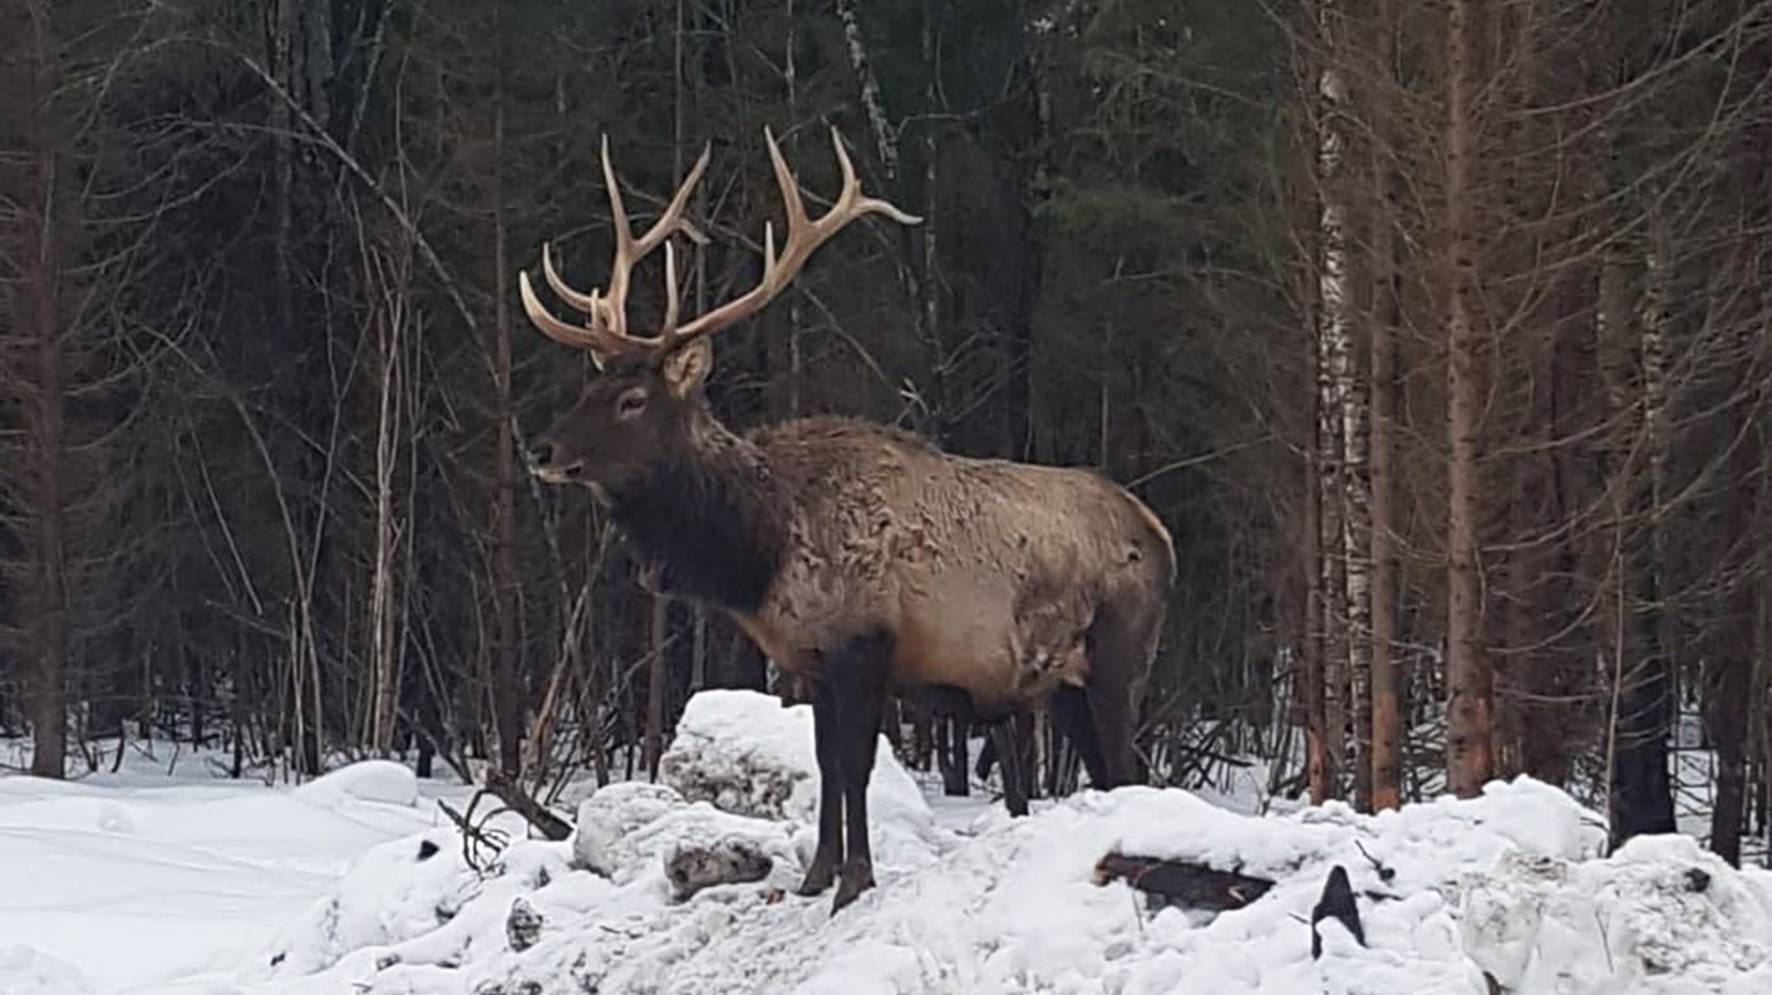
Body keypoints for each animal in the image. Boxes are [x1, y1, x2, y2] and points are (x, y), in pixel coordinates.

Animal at [517, 127, 1169, 913]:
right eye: (591, 385)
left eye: (632, 399)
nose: (540, 449)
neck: (760, 551)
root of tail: (1164, 538)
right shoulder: (809, 657)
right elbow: (827, 765)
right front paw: (818, 874)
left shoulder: (868, 643)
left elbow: (855, 767)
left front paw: (854, 880)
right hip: (1065, 680)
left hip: (1121, 654)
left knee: (1132, 766)